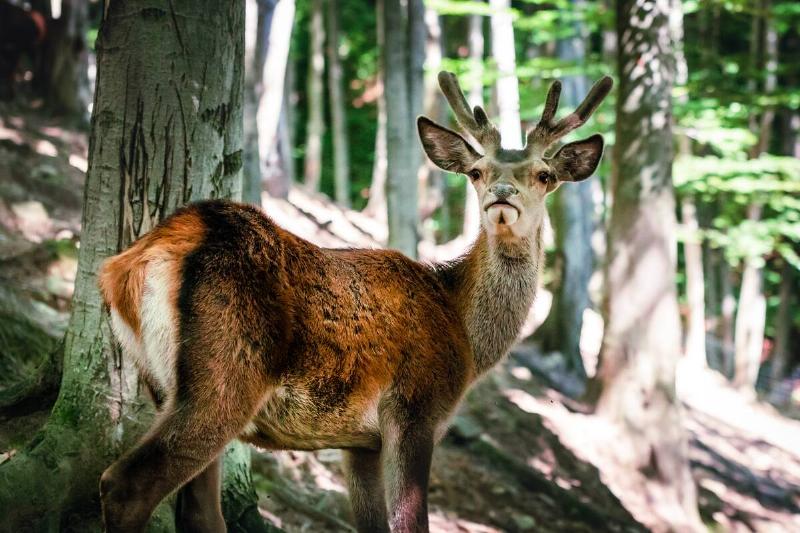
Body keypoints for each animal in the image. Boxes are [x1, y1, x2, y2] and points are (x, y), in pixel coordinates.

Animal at [97, 71, 612, 533]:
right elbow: (410, 523)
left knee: (200, 511)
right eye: (477, 172)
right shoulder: (415, 408)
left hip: (161, 381)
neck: (463, 328)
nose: (502, 195)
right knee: (126, 485)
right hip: (226, 369)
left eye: (544, 174)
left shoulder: (359, 442)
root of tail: (132, 262)